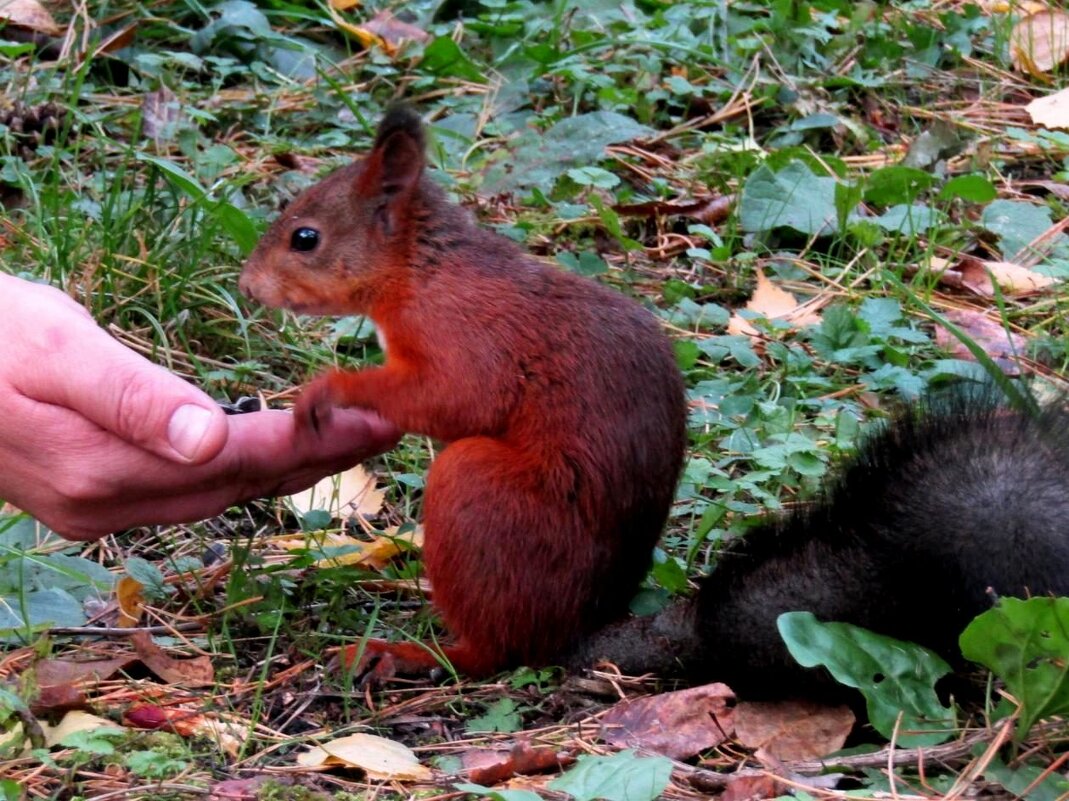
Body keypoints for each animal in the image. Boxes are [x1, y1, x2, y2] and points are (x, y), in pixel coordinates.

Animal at [239, 103, 688, 680]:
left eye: (305, 238)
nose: (248, 285)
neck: (421, 272)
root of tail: (575, 632)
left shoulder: (468, 339)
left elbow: (460, 399)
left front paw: (328, 390)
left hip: (476, 488)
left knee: (491, 652)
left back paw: (406, 652)